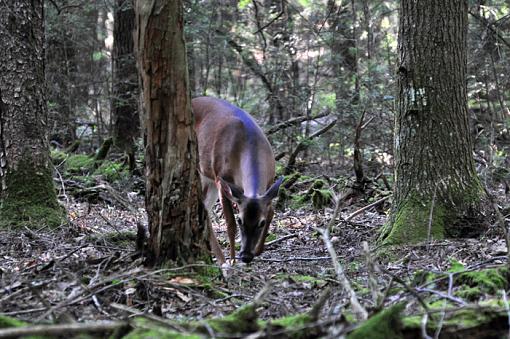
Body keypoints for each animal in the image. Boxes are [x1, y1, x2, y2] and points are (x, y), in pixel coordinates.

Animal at [192, 96, 282, 266]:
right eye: (240, 220)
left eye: (261, 223)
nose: (246, 256)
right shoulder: (221, 179)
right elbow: (230, 224)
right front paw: (233, 260)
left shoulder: (269, 183)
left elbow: (272, 211)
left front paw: (258, 250)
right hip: (203, 172)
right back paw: (222, 260)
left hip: (209, 179)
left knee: (204, 208)